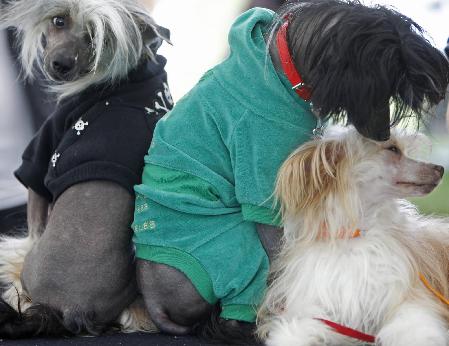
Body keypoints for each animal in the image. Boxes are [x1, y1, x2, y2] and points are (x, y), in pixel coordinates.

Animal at [0, 0, 171, 338]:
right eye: (58, 20)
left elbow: (34, 223)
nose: (61, 65)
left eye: (97, 38)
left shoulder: (40, 162)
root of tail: (74, 310)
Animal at [258, 125, 448, 346]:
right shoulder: (324, 305)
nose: (440, 168)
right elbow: (301, 326)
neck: (356, 236)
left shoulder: (408, 296)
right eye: (392, 148)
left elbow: (415, 327)